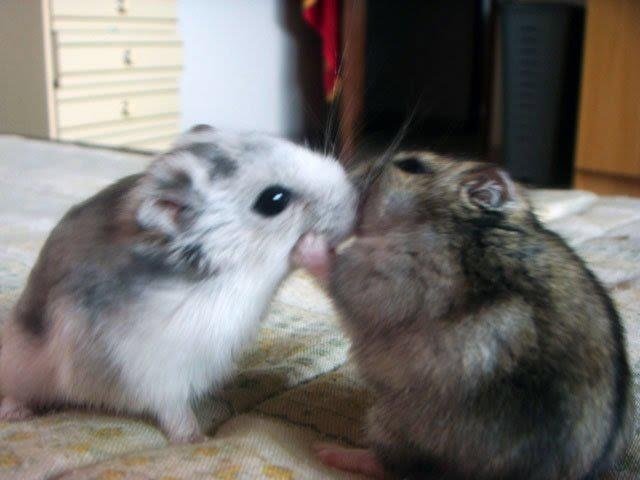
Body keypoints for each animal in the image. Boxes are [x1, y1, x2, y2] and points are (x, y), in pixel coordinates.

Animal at [0, 126, 356, 443]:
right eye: (273, 200)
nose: (356, 200)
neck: (237, 275)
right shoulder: (156, 370)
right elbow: (174, 410)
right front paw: (196, 439)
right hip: (23, 363)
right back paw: (16, 414)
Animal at [295, 152, 634, 479]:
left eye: (411, 166)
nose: (348, 171)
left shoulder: (396, 271)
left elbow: (340, 274)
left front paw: (307, 240)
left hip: (398, 419)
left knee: (393, 464)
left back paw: (329, 451)